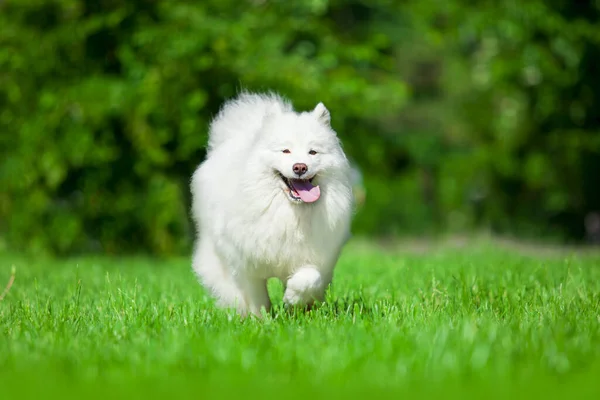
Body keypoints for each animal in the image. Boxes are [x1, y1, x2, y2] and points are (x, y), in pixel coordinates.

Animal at [190, 92, 354, 318]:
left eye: (312, 152)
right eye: (285, 151)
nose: (300, 167)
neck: (289, 213)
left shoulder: (316, 258)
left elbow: (309, 279)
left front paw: (294, 300)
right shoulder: (247, 266)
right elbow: (257, 298)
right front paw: (262, 320)